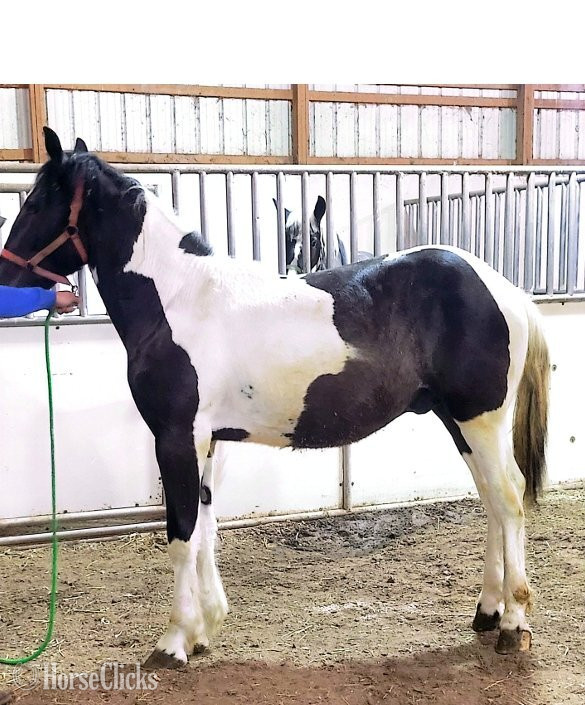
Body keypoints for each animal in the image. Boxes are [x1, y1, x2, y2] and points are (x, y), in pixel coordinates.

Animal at [0, 128, 549, 667]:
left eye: (37, 201)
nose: (6, 277)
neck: (178, 300)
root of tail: (503, 288)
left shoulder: (176, 438)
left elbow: (181, 535)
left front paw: (174, 641)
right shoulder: (209, 441)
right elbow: (205, 528)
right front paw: (204, 631)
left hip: (480, 420)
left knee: (509, 499)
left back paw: (513, 625)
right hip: (458, 422)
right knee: (491, 501)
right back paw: (487, 612)